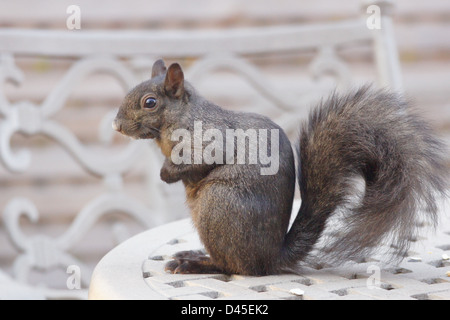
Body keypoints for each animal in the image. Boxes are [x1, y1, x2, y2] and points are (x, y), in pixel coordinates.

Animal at [112, 59, 446, 276]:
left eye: (150, 102)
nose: (116, 125)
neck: (177, 121)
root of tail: (272, 258)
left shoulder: (210, 138)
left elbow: (201, 161)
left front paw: (167, 173)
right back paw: (195, 254)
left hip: (218, 207)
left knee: (236, 267)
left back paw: (197, 263)